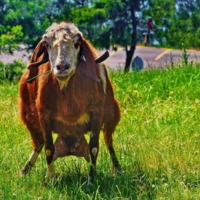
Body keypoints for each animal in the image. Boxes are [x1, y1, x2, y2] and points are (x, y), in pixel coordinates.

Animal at [19, 21, 120, 183]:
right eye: (47, 44)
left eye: (77, 43)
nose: (62, 67)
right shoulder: (44, 114)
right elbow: (48, 149)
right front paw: (52, 179)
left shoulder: (97, 113)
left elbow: (94, 148)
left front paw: (90, 180)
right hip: (28, 117)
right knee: (39, 144)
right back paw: (25, 170)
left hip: (113, 115)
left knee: (108, 141)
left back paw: (118, 169)